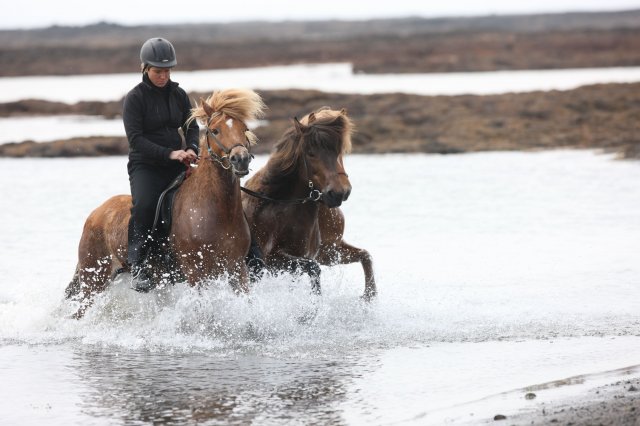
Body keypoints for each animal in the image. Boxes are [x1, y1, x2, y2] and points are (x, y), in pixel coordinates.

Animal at [65, 89, 264, 316]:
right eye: (215, 130)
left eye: (245, 128)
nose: (240, 160)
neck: (217, 211)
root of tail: (95, 214)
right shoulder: (197, 273)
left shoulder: (237, 269)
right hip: (93, 279)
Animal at [242, 107, 378, 300]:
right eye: (311, 153)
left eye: (339, 151)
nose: (339, 193)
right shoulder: (271, 258)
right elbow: (313, 268)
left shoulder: (329, 251)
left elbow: (365, 256)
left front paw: (369, 296)